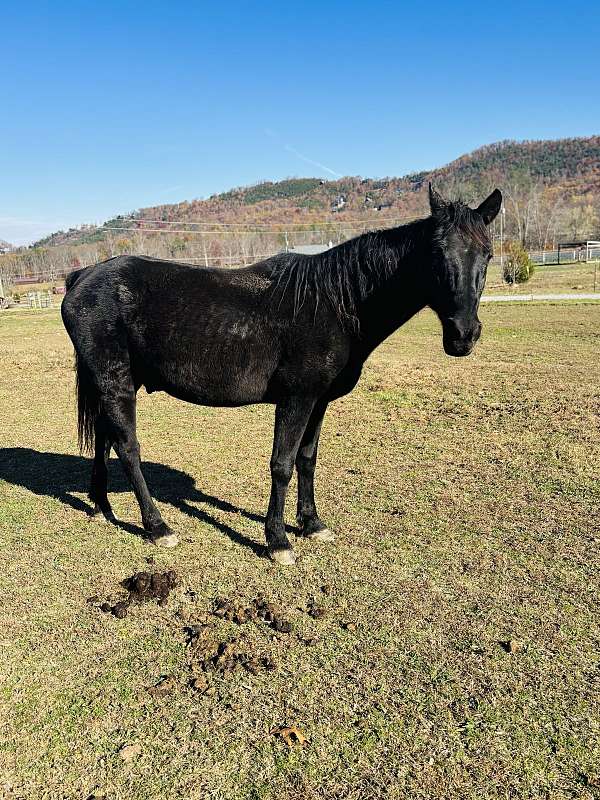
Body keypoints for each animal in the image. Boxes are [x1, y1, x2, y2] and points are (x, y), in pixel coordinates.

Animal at [61, 186, 502, 564]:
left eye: (488, 254)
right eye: (436, 254)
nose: (463, 335)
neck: (335, 302)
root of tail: (83, 276)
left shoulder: (319, 401)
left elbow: (307, 459)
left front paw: (312, 524)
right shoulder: (296, 399)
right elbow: (282, 464)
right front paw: (278, 541)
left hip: (118, 383)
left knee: (104, 439)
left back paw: (101, 506)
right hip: (116, 383)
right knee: (128, 448)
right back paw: (158, 527)